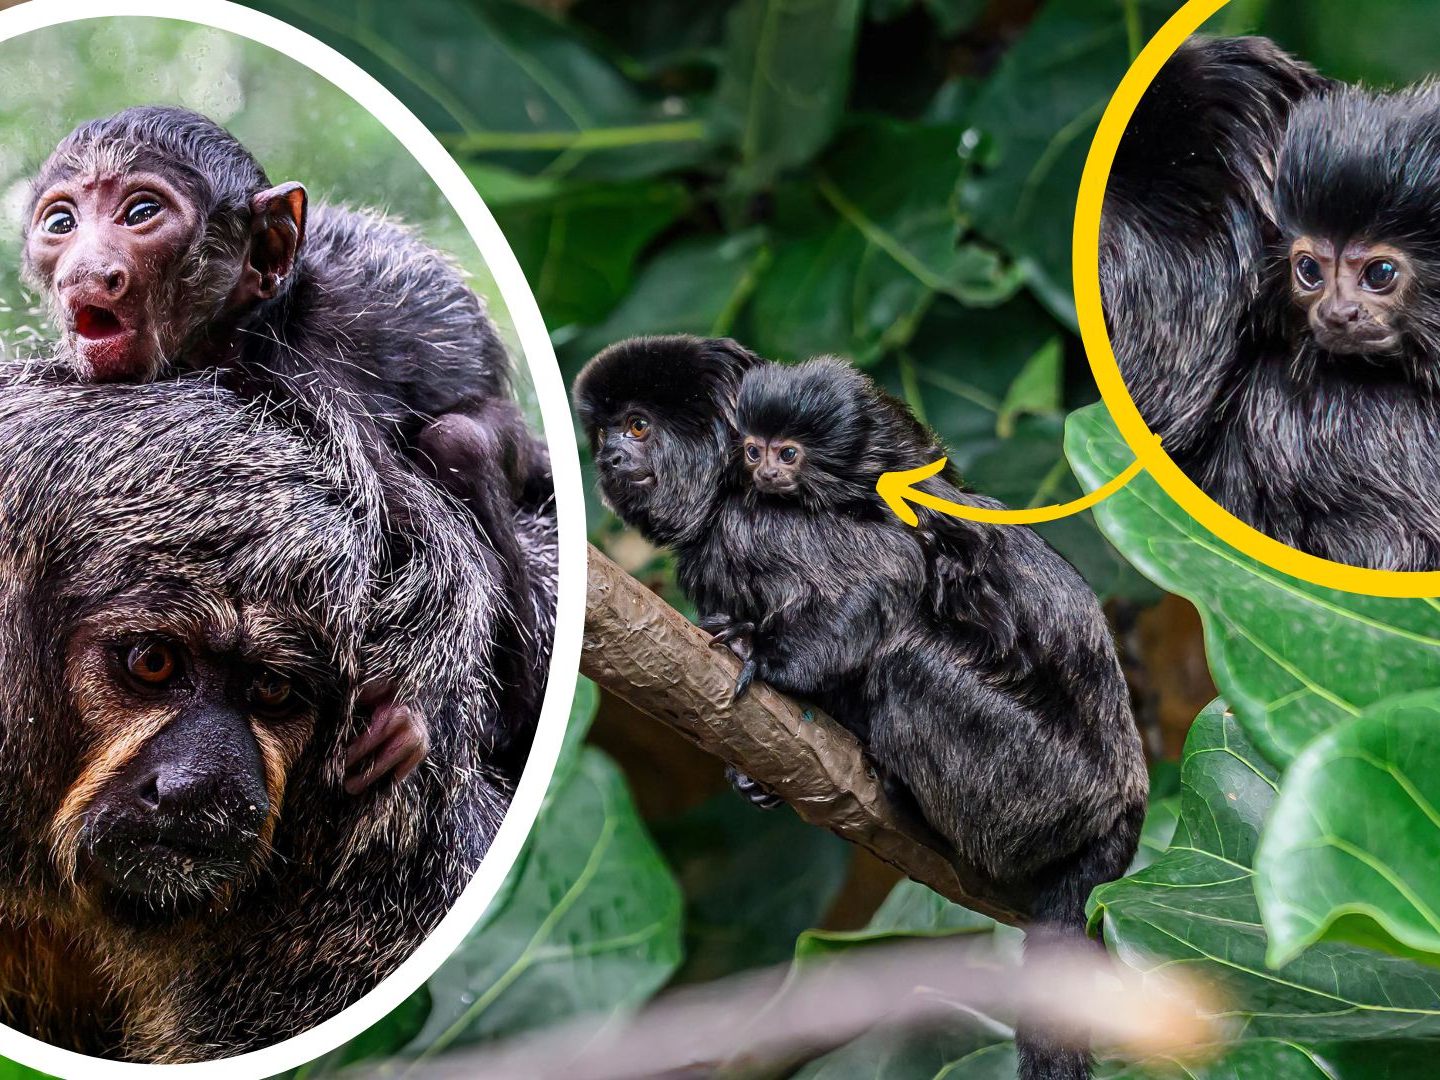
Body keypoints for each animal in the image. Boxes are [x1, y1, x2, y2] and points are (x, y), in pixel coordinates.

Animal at [21, 105, 552, 790]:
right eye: (61, 224)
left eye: (141, 213)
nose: (87, 270)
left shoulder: (308, 370)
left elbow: (406, 524)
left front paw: (416, 696)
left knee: (458, 442)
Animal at [575, 339, 1147, 1080]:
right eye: (605, 433)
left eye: (638, 427)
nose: (611, 458)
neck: (727, 485)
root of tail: (1125, 804)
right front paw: (753, 777)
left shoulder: (767, 524)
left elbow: (887, 575)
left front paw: (765, 657)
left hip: (1042, 787)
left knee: (909, 661)